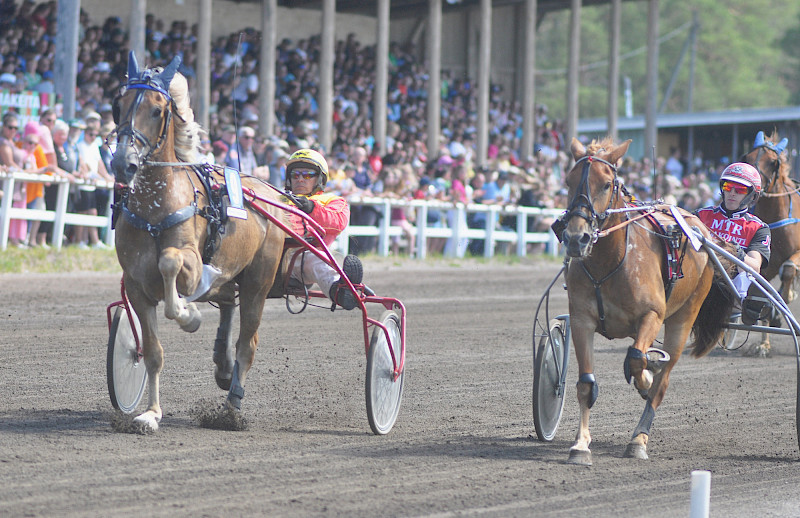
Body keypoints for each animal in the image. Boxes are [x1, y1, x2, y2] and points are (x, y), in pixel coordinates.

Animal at [109, 51, 288, 434]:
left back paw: (231, 407)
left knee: (247, 343)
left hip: (259, 281)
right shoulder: (135, 284)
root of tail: (267, 191)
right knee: (228, 306)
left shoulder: (189, 262)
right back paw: (222, 365)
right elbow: (152, 352)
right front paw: (150, 414)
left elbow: (170, 264)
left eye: (157, 110)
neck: (156, 207)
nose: (123, 163)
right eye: (119, 105)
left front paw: (188, 315)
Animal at [560, 136, 736, 466]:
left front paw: (644, 377)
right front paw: (580, 445)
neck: (610, 262)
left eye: (606, 184)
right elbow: (586, 384)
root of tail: (700, 228)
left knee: (661, 382)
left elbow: (637, 361)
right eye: (568, 181)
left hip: (683, 317)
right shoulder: (581, 320)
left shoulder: (652, 315)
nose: (577, 238)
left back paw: (638, 438)